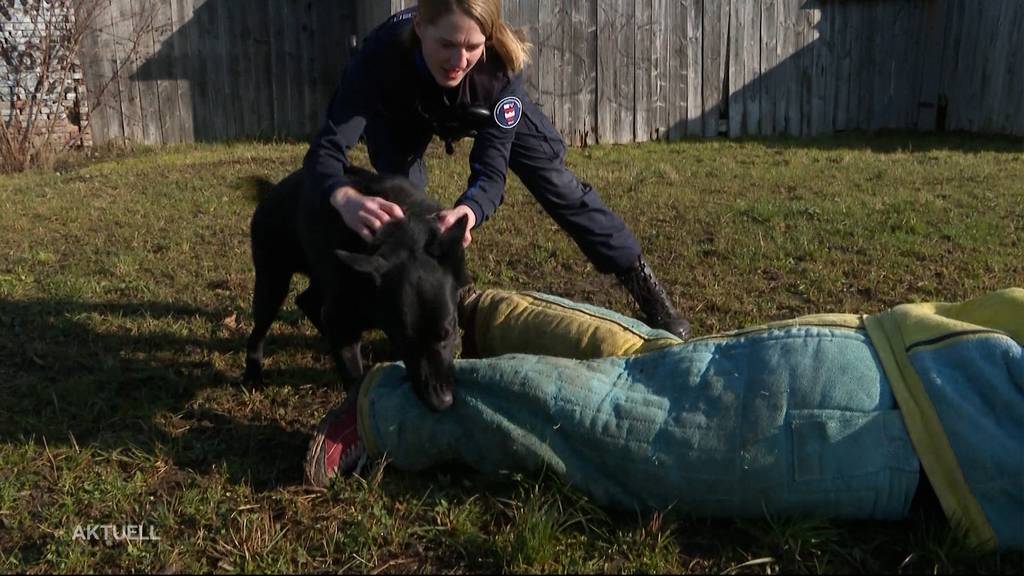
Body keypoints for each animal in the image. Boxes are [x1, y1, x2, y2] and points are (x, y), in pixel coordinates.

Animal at [243, 163, 471, 409]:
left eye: (449, 332)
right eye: (403, 340)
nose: (441, 402)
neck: (403, 232)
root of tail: (271, 192)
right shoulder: (341, 318)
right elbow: (354, 376)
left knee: (307, 300)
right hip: (273, 282)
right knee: (260, 329)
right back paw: (253, 374)